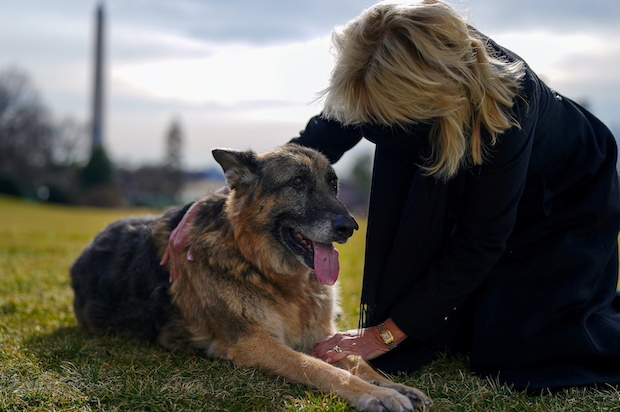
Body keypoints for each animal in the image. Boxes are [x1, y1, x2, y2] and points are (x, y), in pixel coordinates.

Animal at [70, 145, 432, 412]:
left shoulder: (322, 335)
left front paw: (394, 386)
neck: (265, 269)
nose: (350, 227)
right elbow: (320, 369)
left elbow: (357, 360)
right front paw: (378, 395)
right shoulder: (255, 343)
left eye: (333, 184)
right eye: (296, 183)